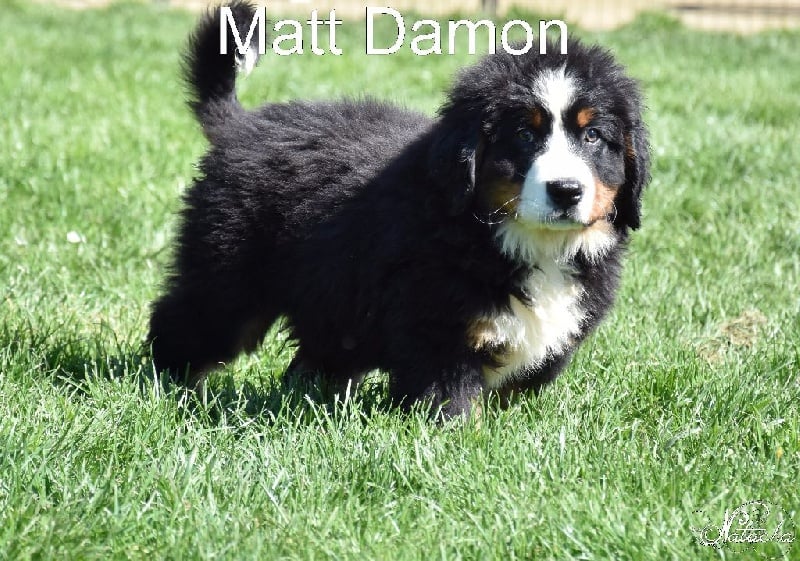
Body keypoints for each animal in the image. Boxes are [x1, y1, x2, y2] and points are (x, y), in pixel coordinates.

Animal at [148, 1, 650, 418]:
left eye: (592, 136)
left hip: (333, 295)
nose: (566, 190)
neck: (517, 240)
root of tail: (241, 125)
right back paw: (167, 389)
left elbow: (513, 393)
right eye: (525, 135)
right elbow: (451, 401)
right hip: (229, 274)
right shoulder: (437, 327)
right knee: (185, 321)